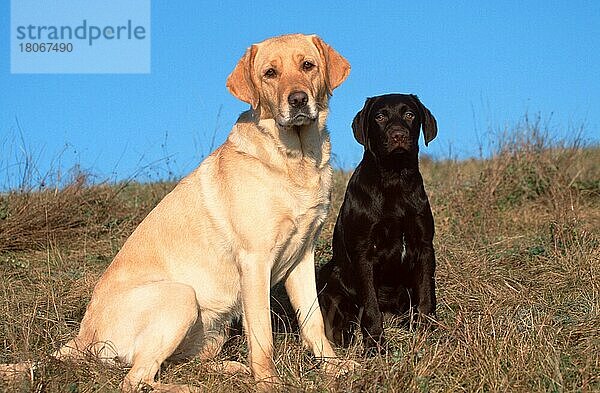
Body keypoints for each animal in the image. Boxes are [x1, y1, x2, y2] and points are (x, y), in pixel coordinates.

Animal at [54, 33, 350, 388]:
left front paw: (335, 367)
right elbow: (262, 335)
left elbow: (314, 322)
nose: (298, 100)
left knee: (177, 365)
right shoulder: (255, 261)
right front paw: (268, 382)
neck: (295, 159)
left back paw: (231, 369)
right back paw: (190, 388)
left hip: (212, 327)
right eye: (270, 73)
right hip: (181, 297)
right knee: (136, 379)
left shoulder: (302, 257)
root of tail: (81, 336)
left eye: (308, 65)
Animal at [316, 93, 438, 354]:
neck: (395, 180)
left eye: (409, 114)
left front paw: (428, 334)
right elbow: (371, 306)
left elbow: (426, 296)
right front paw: (375, 345)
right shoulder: (364, 253)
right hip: (330, 274)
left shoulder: (424, 247)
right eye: (380, 116)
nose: (398, 135)